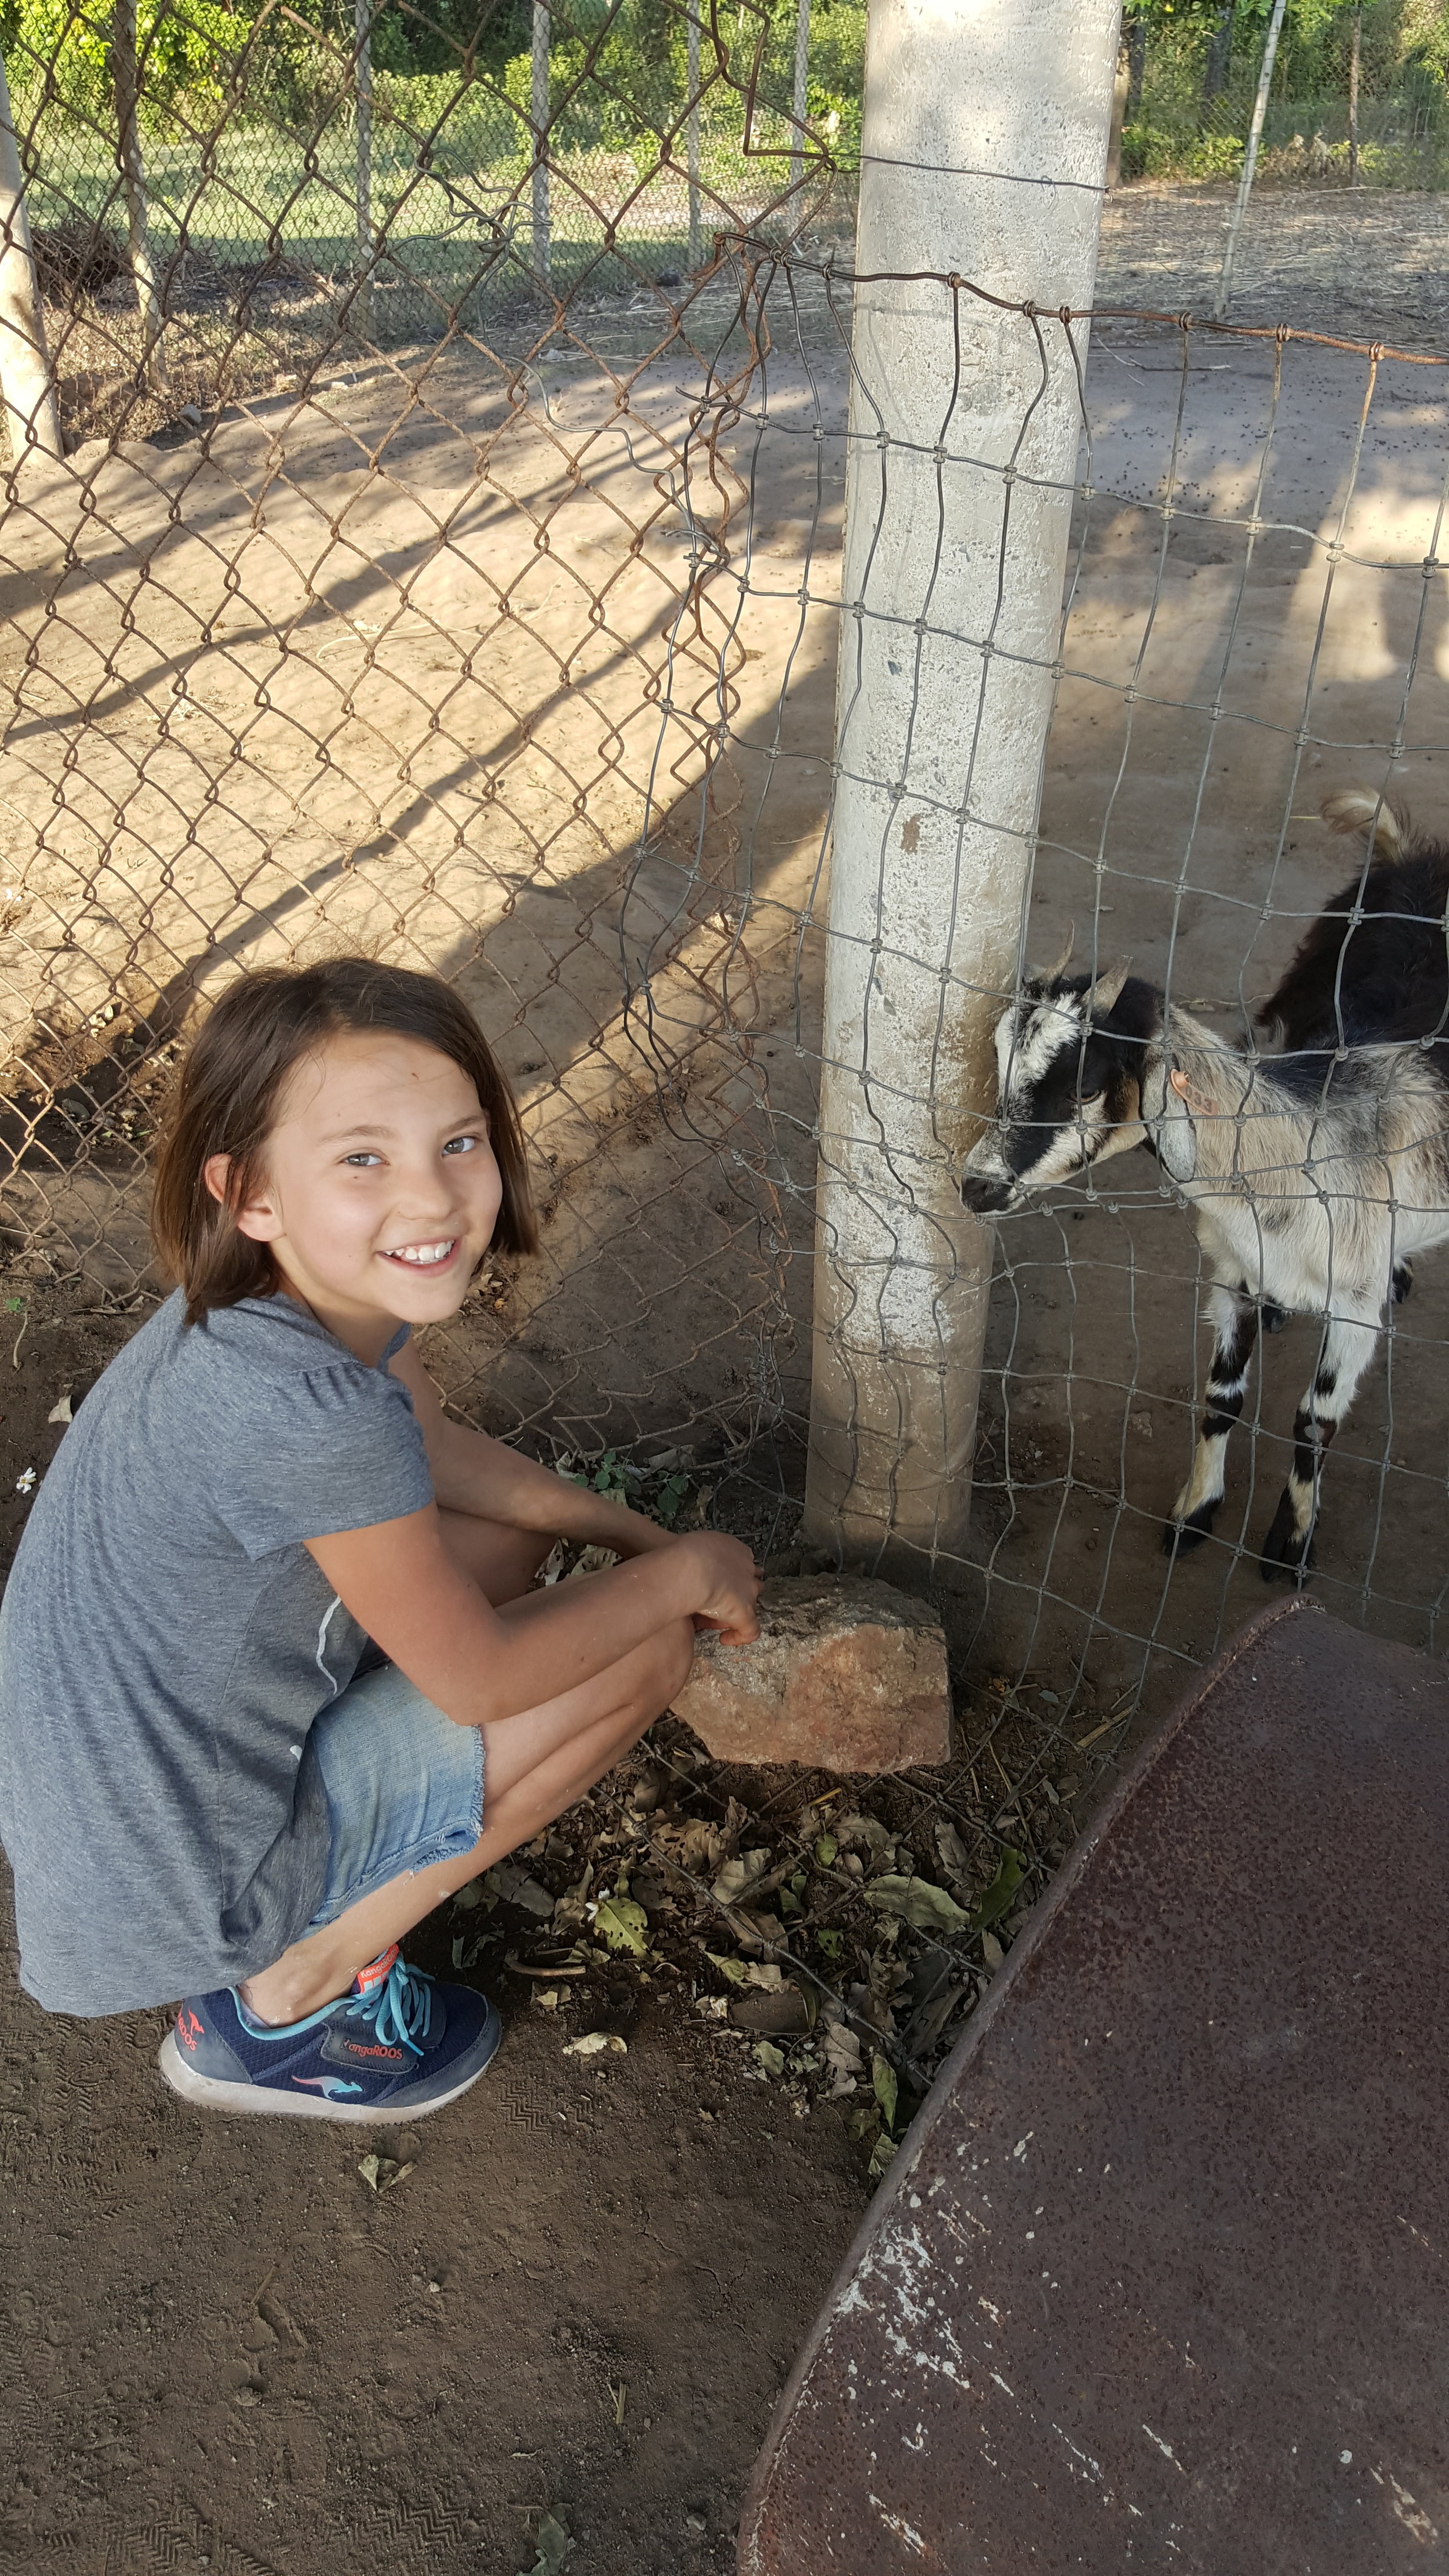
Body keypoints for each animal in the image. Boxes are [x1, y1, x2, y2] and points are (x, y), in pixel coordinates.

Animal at [962, 793, 1449, 1576]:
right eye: (1001, 1063)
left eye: (1085, 1086)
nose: (975, 1187)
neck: (1291, 1160)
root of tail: (1415, 857)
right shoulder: (1230, 1271)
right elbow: (1221, 1397)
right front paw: (1195, 1511)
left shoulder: (1353, 1310)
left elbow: (1313, 1422)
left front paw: (1289, 1545)